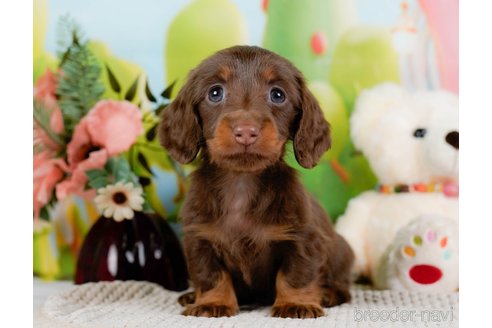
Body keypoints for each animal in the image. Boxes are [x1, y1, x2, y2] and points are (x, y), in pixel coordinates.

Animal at [158, 45, 354, 318]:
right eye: (215, 92)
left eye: (278, 94)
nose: (246, 131)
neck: (241, 182)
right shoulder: (199, 238)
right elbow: (211, 275)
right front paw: (212, 302)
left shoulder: (303, 238)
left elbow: (295, 274)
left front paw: (295, 303)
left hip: (342, 251)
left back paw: (328, 294)